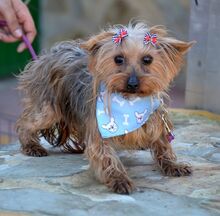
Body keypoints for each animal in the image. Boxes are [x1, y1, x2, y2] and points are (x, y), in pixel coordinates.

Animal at [15, 22, 194, 194]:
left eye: (147, 59)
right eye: (118, 59)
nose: (133, 83)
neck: (129, 101)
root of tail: (49, 54)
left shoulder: (154, 118)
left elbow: (162, 144)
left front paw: (173, 165)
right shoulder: (98, 128)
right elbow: (105, 155)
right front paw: (119, 179)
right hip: (49, 107)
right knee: (27, 122)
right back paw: (31, 146)